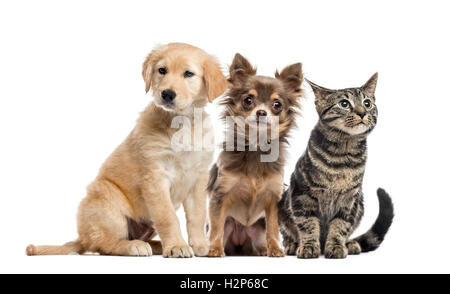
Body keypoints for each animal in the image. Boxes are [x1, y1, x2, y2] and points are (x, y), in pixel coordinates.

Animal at [26, 43, 227, 258]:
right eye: (162, 70)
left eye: (188, 74)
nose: (167, 94)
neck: (182, 124)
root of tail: (81, 237)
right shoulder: (155, 177)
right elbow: (168, 217)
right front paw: (176, 246)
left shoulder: (198, 177)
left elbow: (197, 216)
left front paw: (200, 245)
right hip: (108, 201)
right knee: (103, 245)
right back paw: (135, 246)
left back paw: (154, 245)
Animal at [207, 54, 302, 256]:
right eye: (248, 100)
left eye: (277, 104)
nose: (261, 112)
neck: (256, 147)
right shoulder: (220, 196)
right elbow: (216, 226)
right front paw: (215, 249)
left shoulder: (273, 200)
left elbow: (273, 227)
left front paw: (276, 249)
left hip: (257, 232)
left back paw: (265, 250)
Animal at [280, 73, 392, 258]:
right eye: (344, 104)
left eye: (367, 103)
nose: (362, 112)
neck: (343, 156)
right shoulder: (302, 195)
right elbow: (307, 223)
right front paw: (308, 245)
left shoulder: (349, 200)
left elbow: (340, 226)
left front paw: (336, 246)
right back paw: (292, 244)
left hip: (360, 203)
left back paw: (351, 244)